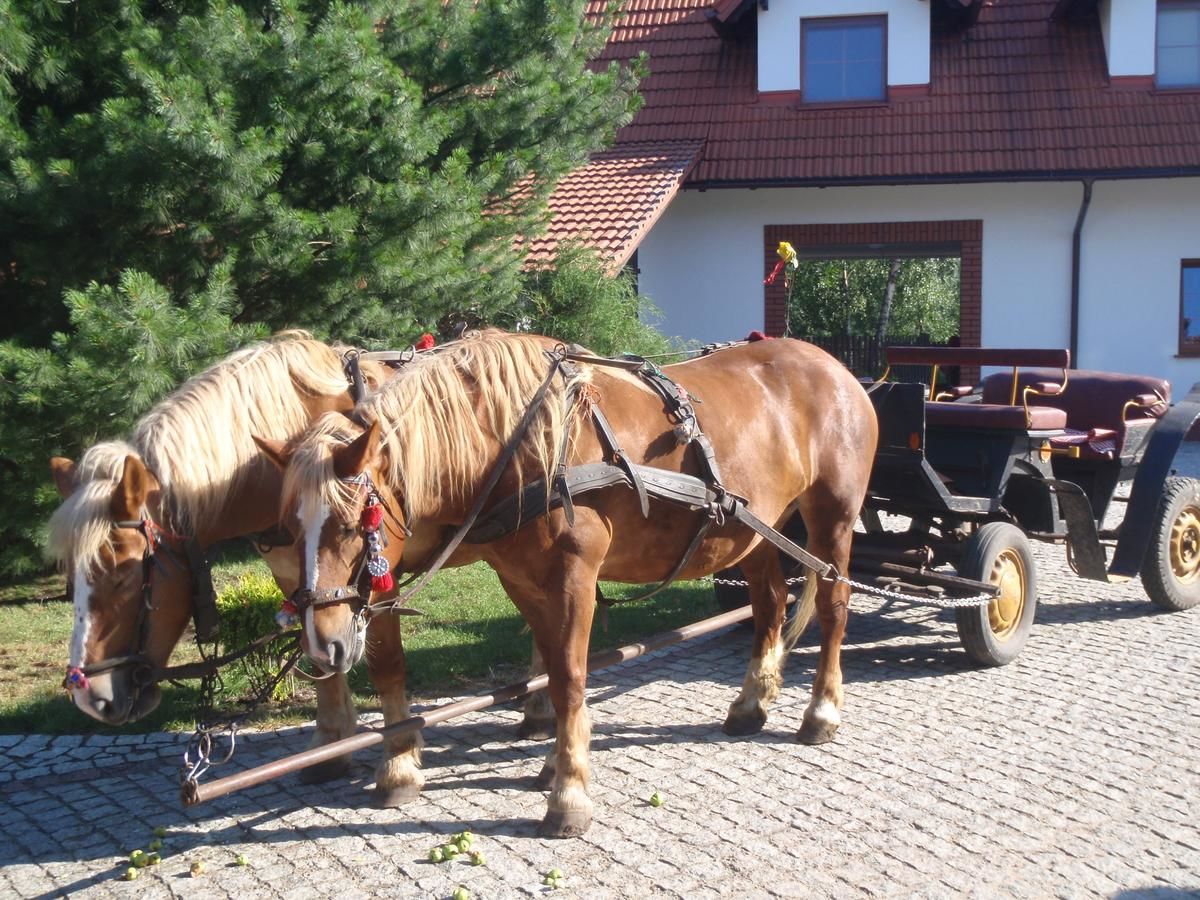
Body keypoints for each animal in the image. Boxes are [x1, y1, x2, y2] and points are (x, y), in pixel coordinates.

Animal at [45, 336, 393, 787]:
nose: (91, 697)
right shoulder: (297, 570)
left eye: (123, 575)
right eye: (71, 577)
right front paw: (331, 746)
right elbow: (316, 643)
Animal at [262, 328, 878, 840]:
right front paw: (557, 761)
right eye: (289, 525)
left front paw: (569, 794)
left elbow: (569, 678)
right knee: (770, 605)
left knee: (834, 604)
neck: (522, 445)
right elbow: (551, 669)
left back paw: (822, 712)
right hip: (756, 532)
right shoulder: (522, 581)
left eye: (350, 524)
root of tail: (834, 367)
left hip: (832, 517)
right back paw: (751, 704)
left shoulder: (573, 576)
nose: (322, 641)